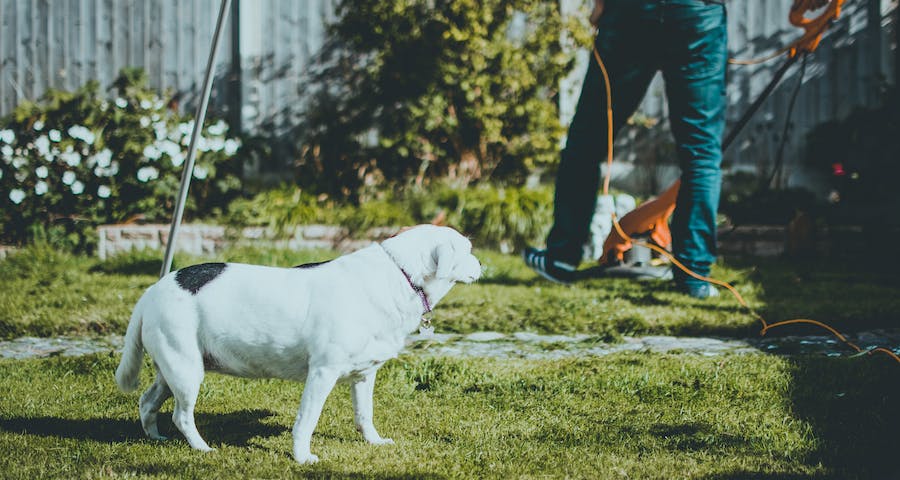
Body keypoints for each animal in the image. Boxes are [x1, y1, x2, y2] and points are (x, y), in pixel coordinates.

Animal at [116, 227, 482, 464]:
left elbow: (365, 414)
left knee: (148, 401)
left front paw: (374, 441)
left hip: (175, 368)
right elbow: (307, 419)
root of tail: (152, 290)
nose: (482, 264)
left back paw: (154, 437)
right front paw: (303, 457)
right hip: (186, 369)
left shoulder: (365, 375)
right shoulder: (322, 372)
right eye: (467, 250)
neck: (399, 274)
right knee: (181, 415)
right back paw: (201, 448)